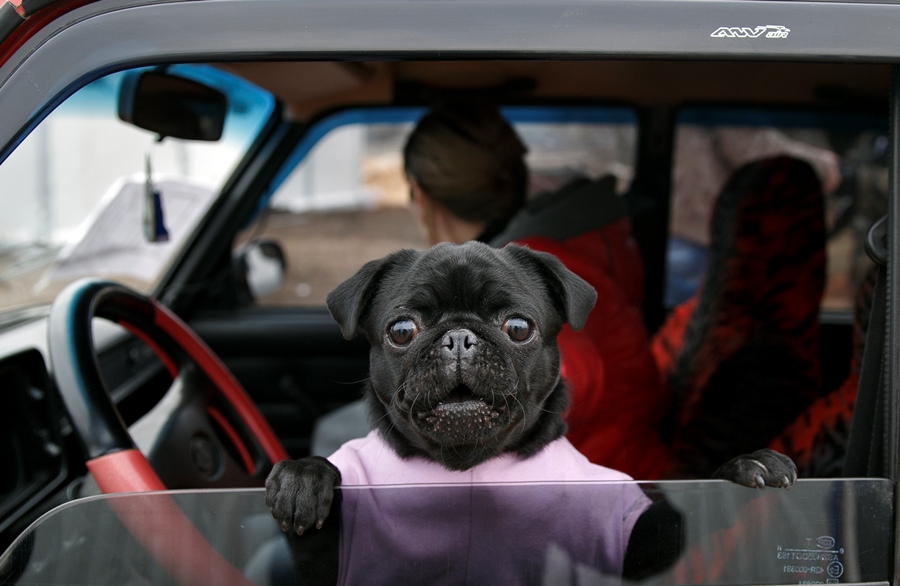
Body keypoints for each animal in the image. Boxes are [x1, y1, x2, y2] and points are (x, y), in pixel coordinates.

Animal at [266, 241, 796, 580]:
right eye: (402, 331)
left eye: (518, 327)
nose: (459, 337)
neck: (466, 469)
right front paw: (303, 476)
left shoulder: (636, 543)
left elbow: (677, 523)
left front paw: (746, 465)